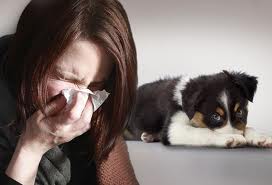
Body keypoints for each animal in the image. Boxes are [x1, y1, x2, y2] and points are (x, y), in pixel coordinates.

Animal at [126, 71, 272, 147]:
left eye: (240, 112)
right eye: (215, 116)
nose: (235, 135)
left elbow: (246, 127)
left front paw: (261, 137)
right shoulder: (173, 128)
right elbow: (204, 132)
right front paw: (232, 138)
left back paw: (149, 136)